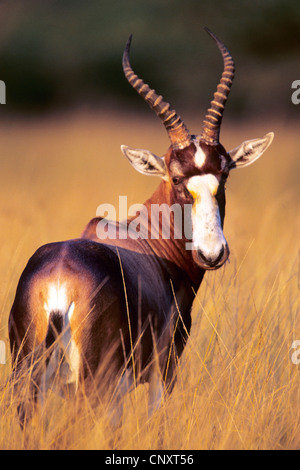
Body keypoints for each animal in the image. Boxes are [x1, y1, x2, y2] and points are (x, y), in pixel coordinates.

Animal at [7, 29, 274, 426]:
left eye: (225, 173)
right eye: (176, 178)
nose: (212, 253)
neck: (145, 240)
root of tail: (57, 282)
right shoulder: (162, 373)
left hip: (28, 382)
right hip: (90, 386)